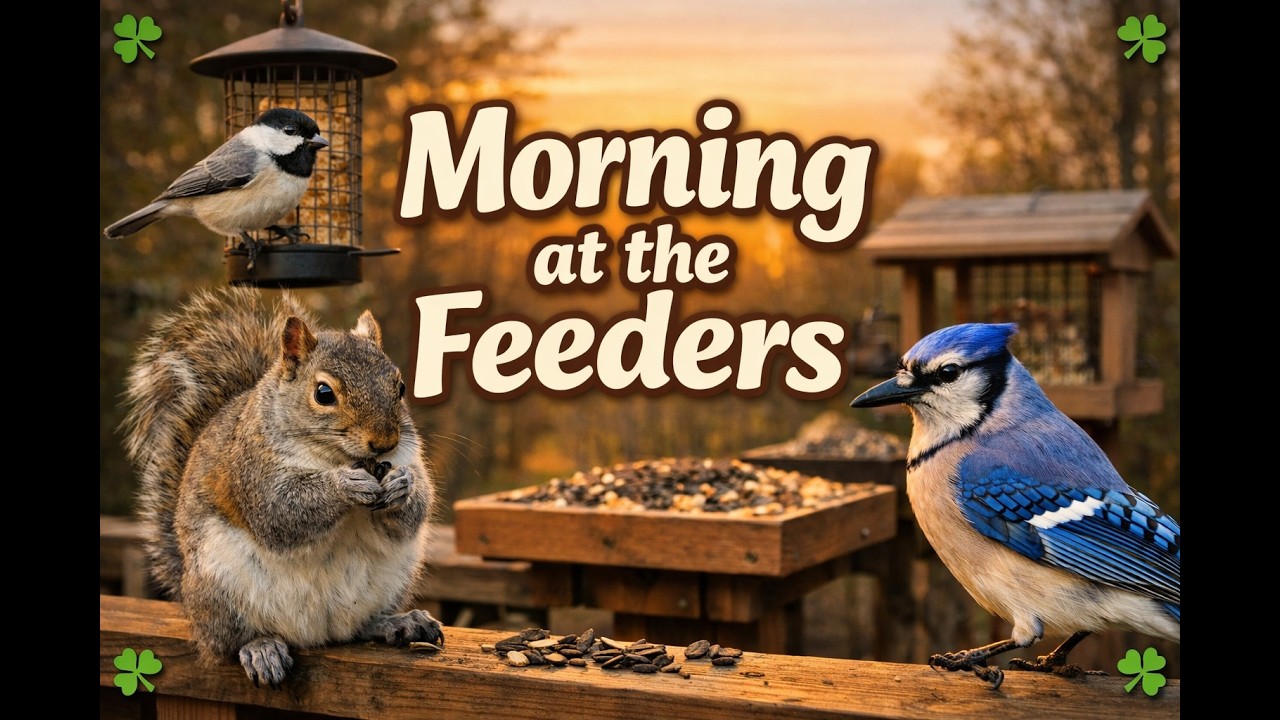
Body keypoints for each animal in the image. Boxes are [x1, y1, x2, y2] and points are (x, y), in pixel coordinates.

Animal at [120, 286, 443, 687]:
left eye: (399, 387)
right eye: (323, 393)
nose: (384, 442)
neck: (335, 456)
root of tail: (316, 633)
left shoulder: (407, 455)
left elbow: (413, 510)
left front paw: (403, 486)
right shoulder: (252, 470)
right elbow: (281, 512)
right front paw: (345, 485)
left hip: (395, 577)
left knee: (359, 627)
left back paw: (396, 622)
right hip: (219, 588)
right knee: (227, 643)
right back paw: (260, 648)